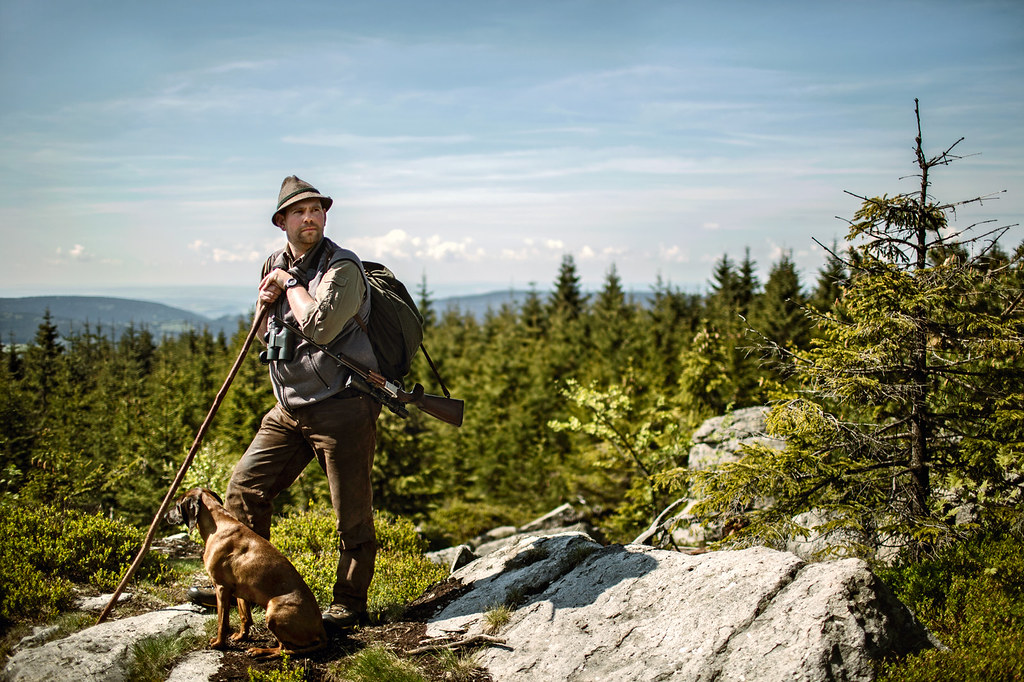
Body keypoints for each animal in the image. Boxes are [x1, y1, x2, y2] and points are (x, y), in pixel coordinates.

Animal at [166, 485, 327, 655]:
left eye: (176, 505)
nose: (165, 515)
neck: (219, 524)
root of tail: (321, 631)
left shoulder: (221, 588)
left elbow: (222, 622)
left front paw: (218, 643)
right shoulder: (240, 591)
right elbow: (245, 617)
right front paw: (241, 636)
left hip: (273, 610)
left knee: (285, 650)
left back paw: (259, 651)